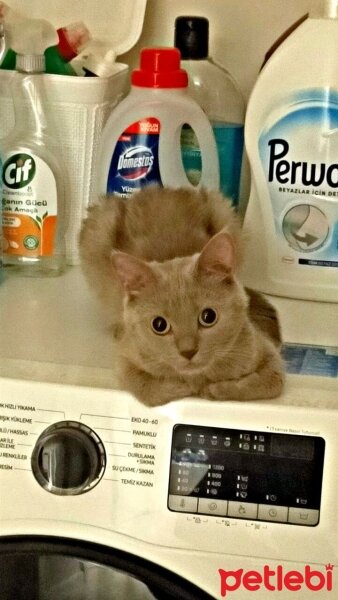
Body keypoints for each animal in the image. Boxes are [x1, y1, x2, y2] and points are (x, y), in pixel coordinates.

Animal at [80, 185, 284, 406]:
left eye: (208, 317)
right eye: (159, 325)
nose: (188, 351)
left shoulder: (266, 354)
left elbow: (268, 383)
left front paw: (213, 389)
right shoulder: (126, 359)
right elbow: (147, 389)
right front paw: (186, 386)